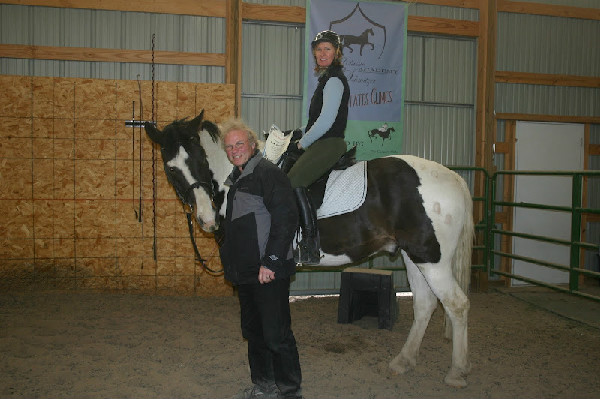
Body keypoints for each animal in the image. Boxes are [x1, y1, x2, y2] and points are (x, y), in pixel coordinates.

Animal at [144, 110, 474, 388]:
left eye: (200, 160)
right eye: (171, 169)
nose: (206, 219)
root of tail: (454, 178)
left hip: (432, 260)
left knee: (457, 304)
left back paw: (457, 372)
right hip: (414, 256)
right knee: (425, 305)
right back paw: (403, 361)